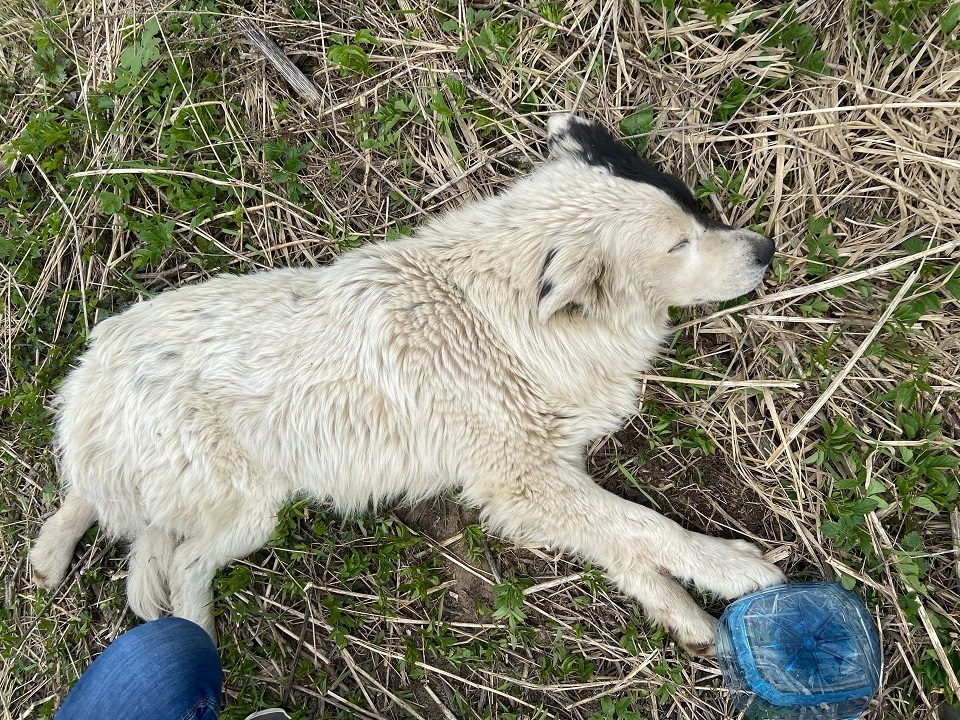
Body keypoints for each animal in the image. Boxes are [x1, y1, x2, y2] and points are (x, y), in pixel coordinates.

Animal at [30, 115, 784, 656]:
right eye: (677, 247)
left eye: (694, 212)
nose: (766, 250)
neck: (502, 317)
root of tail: (96, 377)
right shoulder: (522, 480)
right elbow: (645, 525)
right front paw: (732, 569)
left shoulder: (543, 481)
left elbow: (620, 543)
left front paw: (684, 615)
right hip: (248, 505)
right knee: (178, 562)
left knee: (108, 516)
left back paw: (46, 557)